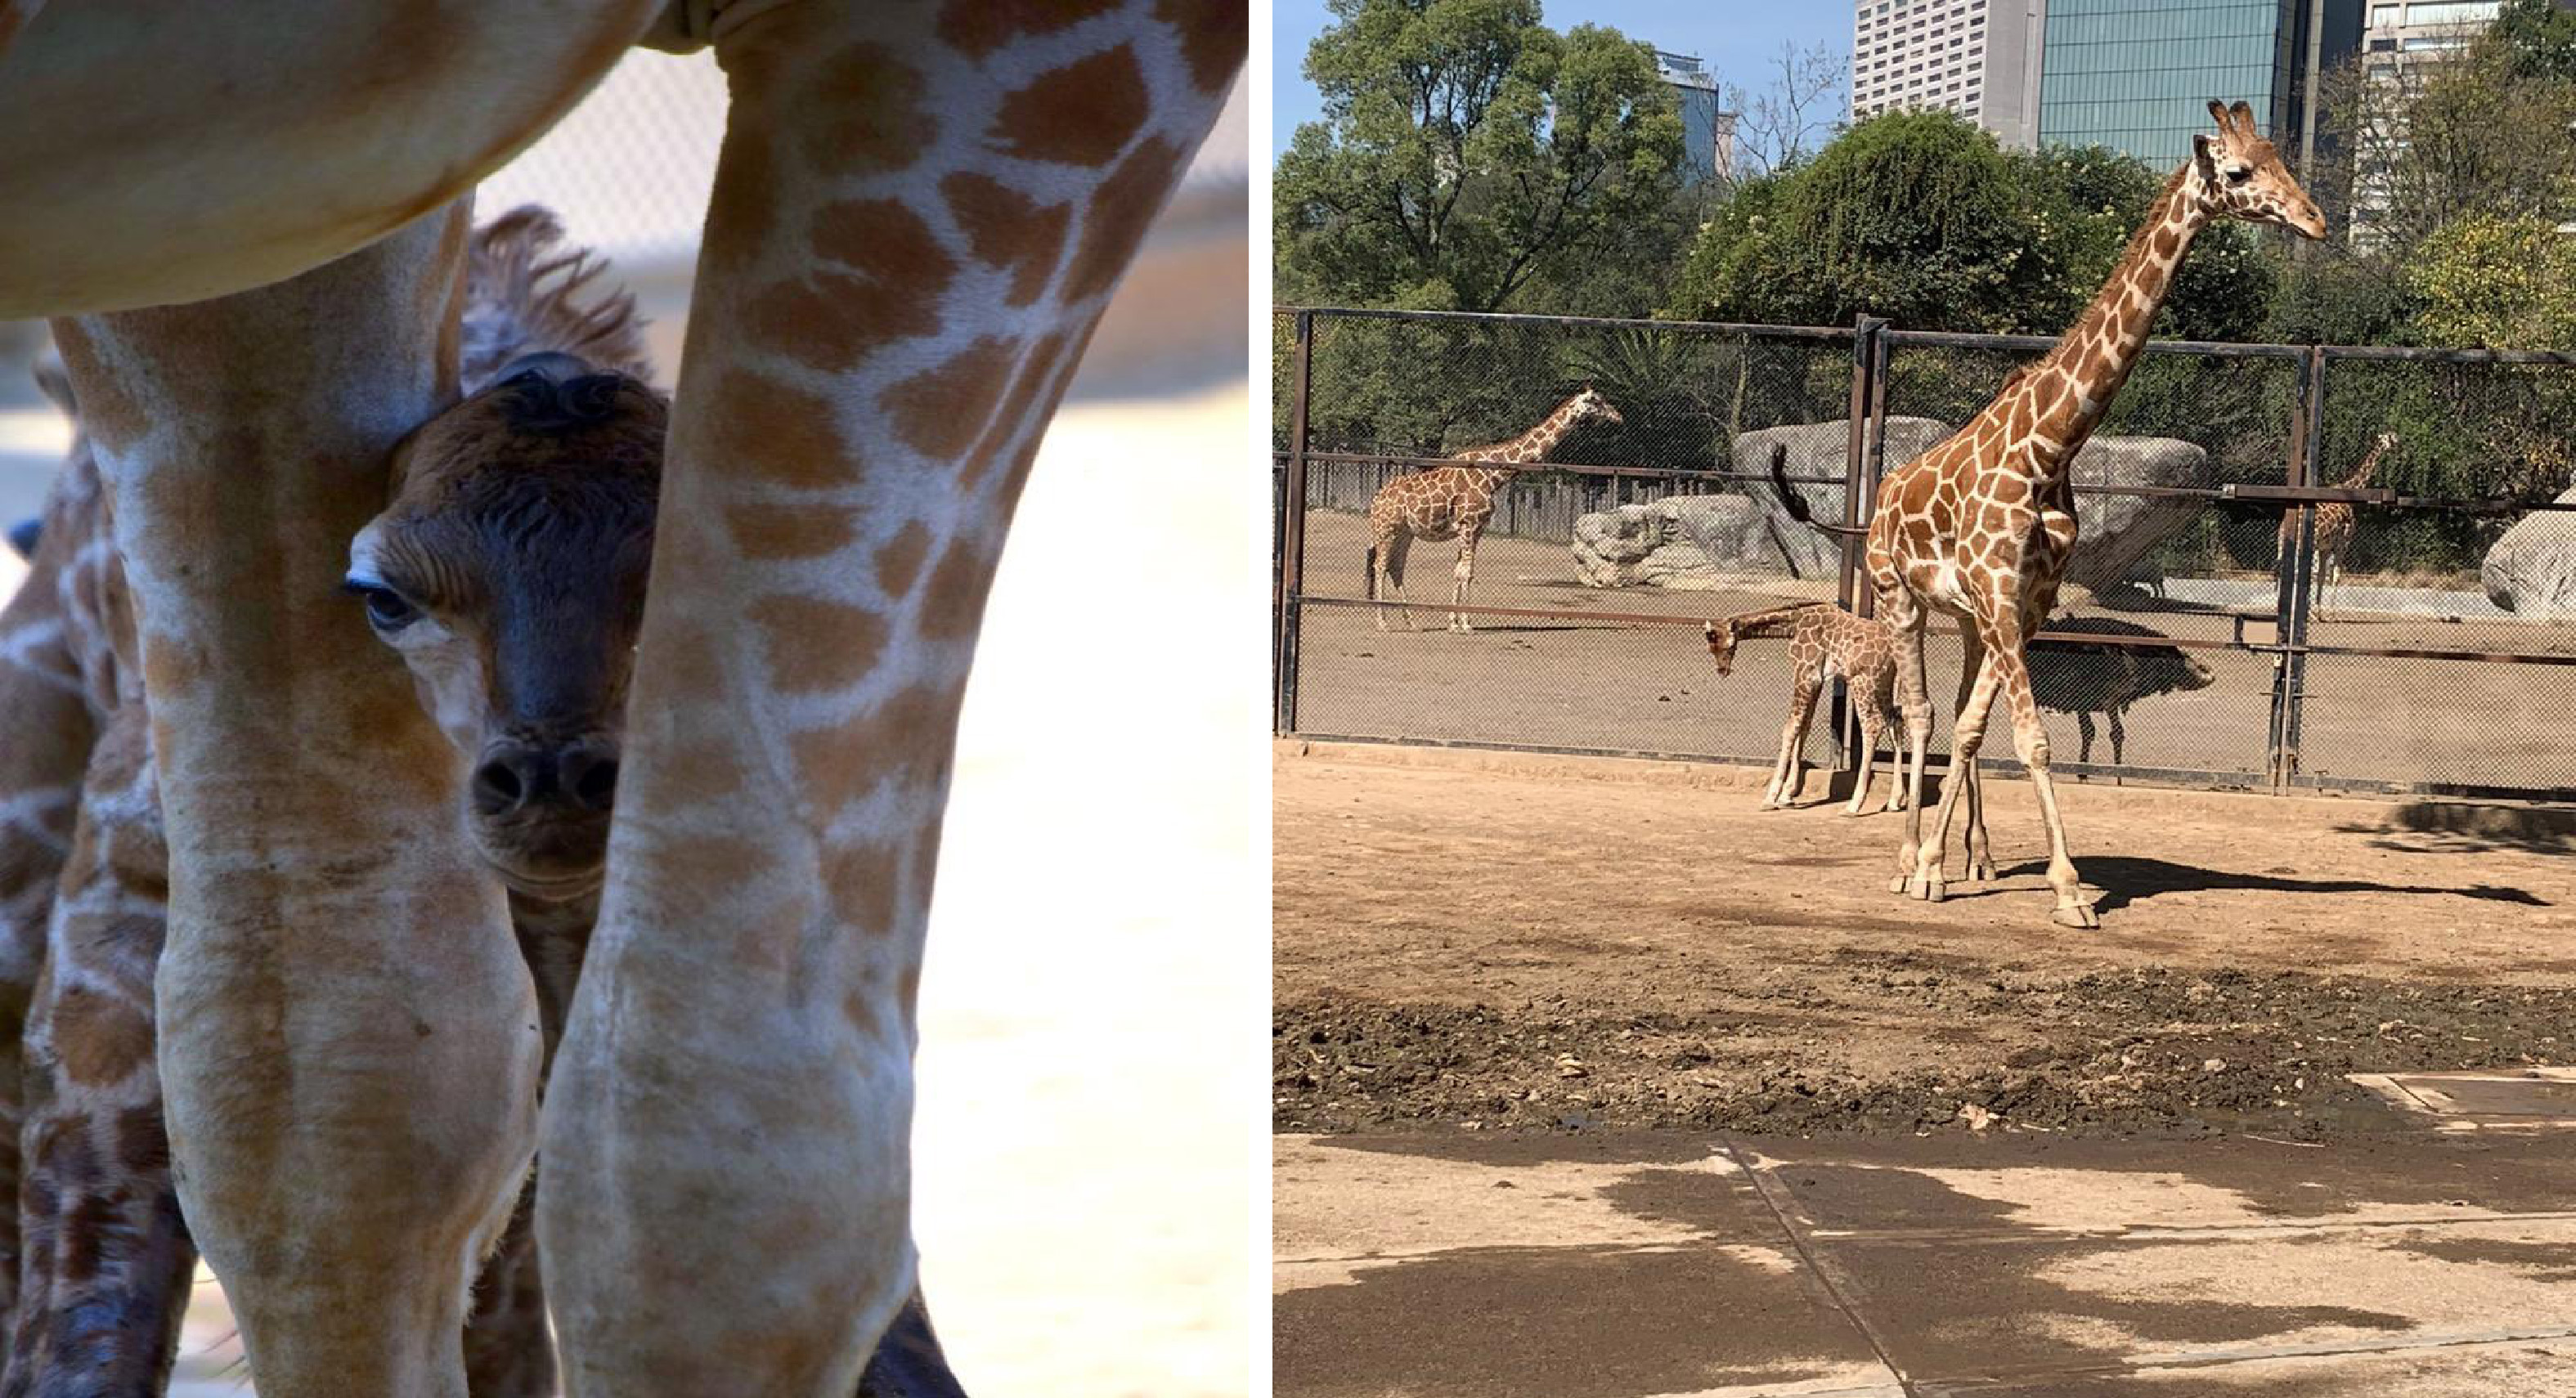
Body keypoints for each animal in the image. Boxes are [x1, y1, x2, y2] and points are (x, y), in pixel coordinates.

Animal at [1366, 386, 1622, 632]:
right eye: (1597, 400)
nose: (1618, 416)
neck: (1493, 476)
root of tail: (1376, 499)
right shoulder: (1469, 525)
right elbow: (1467, 573)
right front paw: (1467, 624)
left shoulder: (1475, 529)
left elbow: (1459, 572)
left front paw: (1453, 623)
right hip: (1386, 529)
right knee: (1380, 565)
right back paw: (1382, 622)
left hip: (1405, 533)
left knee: (1395, 567)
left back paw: (1411, 622)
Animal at [1703, 601, 1909, 817]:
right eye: (1710, 648)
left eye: (1727, 646)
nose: (1722, 671)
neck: (1794, 624)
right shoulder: (1816, 680)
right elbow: (1805, 726)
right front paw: (1787, 795)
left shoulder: (1805, 673)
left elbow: (1791, 727)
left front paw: (1771, 798)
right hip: (1885, 683)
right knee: (1895, 721)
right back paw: (1895, 800)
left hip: (1862, 681)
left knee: (1872, 725)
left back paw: (1853, 806)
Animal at [1771, 99, 2323, 928]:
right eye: (2237, 172)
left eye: (2282, 160)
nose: (2314, 220)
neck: (2051, 445)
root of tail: (1880, 503)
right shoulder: (2000, 599)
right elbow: (2027, 737)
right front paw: (2058, 888)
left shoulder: (2024, 603)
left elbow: (1983, 728)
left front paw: (1957, 863)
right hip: (1901, 597)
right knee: (1917, 713)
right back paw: (1905, 858)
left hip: (1968, 618)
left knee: (1953, 716)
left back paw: (1971, 856)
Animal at [2281, 430, 2397, 604]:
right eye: (2391, 437)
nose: (2398, 442)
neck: (2351, 489)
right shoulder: (2343, 542)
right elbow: (2335, 575)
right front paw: (2328, 609)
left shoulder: (2326, 546)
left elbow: (2322, 576)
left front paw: (2318, 607)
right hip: (2310, 544)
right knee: (2300, 572)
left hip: (2288, 544)